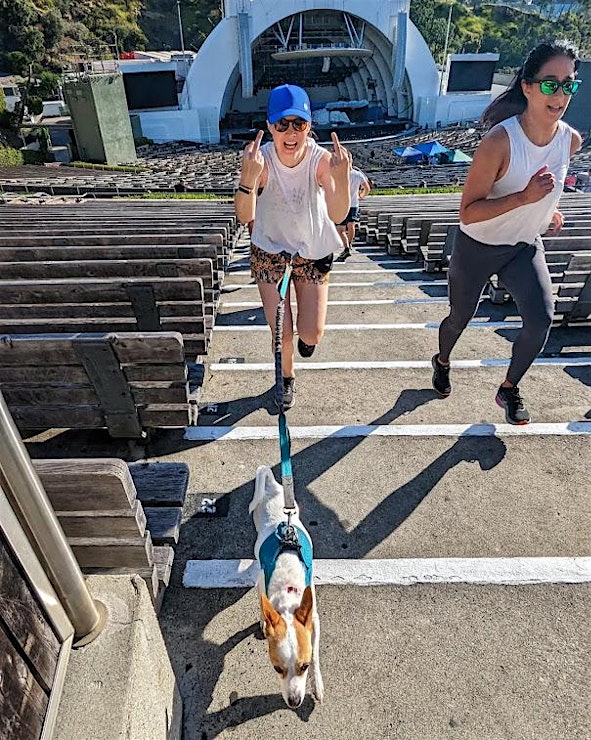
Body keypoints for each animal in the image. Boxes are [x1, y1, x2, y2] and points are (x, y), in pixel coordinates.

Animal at [249, 466, 326, 708]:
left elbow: (316, 653)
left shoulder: (314, 619)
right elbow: (262, 604)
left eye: (305, 666)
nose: (293, 701)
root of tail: (272, 487)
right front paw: (264, 621)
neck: (288, 592)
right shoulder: (260, 584)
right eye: (277, 668)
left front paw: (317, 684)